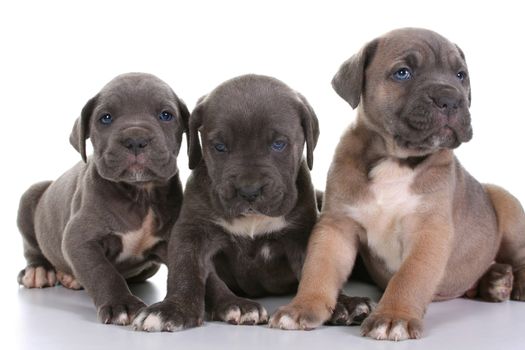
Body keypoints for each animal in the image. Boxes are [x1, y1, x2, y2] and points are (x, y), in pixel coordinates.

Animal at [16, 73, 188, 326]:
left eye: (166, 115)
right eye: (105, 118)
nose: (135, 139)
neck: (139, 195)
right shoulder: (80, 239)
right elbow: (102, 271)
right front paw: (121, 305)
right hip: (30, 196)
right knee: (32, 246)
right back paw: (39, 270)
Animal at [131, 74, 372, 330]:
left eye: (279, 144)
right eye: (219, 147)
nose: (249, 191)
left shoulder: (301, 234)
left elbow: (320, 268)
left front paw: (344, 303)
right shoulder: (192, 230)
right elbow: (186, 268)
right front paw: (173, 309)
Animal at [270, 28, 524, 340]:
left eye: (461, 75)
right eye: (403, 73)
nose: (450, 99)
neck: (395, 159)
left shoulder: (429, 231)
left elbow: (409, 276)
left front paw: (393, 317)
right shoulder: (336, 227)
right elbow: (318, 268)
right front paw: (302, 307)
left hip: (505, 203)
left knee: (520, 257)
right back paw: (494, 282)